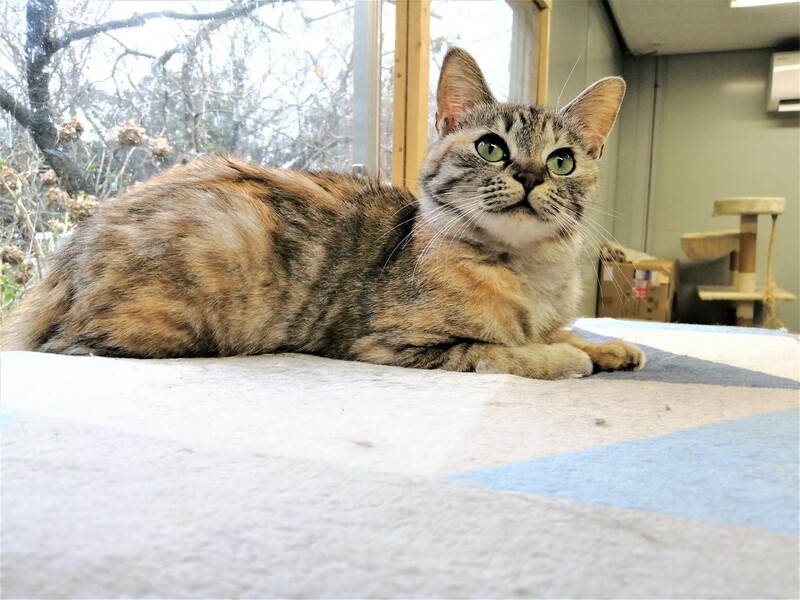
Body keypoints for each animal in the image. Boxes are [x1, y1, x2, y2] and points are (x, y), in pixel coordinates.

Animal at [1, 47, 644, 380]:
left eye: (562, 161)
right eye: (491, 147)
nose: (532, 175)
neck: (531, 269)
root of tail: (66, 260)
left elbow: (564, 329)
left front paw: (609, 346)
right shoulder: (394, 344)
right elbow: (504, 351)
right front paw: (567, 356)